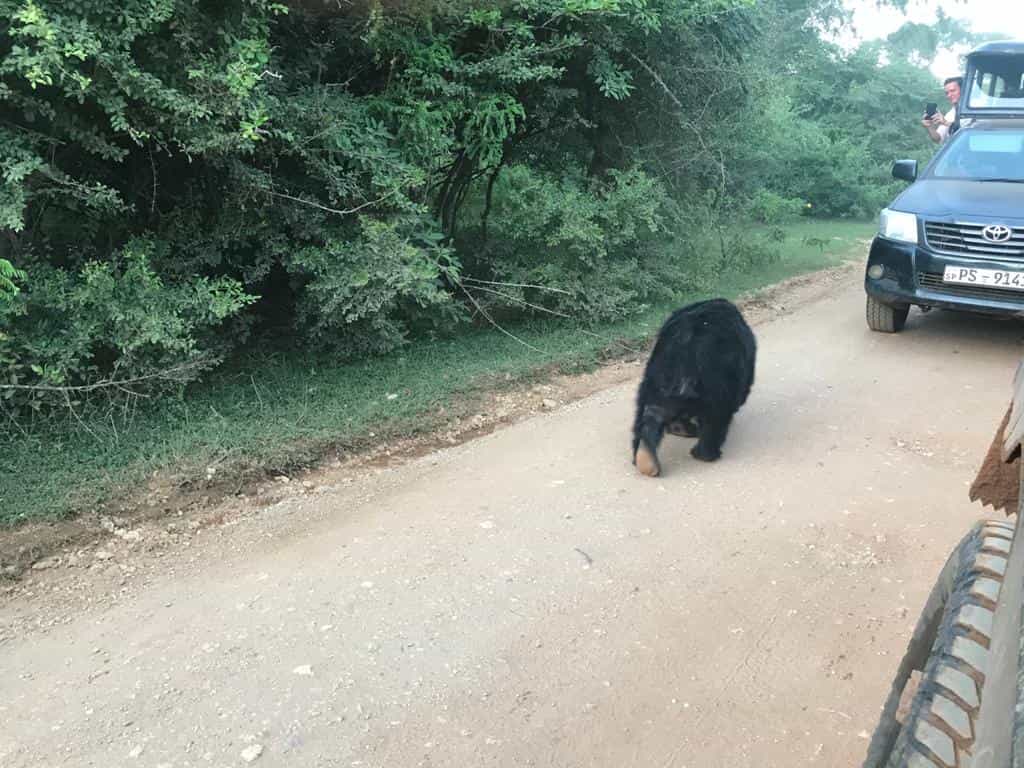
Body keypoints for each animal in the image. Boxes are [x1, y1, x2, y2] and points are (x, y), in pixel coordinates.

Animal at [626, 299, 757, 475]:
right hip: (716, 385)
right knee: (716, 419)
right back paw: (706, 453)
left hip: (651, 381)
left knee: (646, 414)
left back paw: (645, 457)